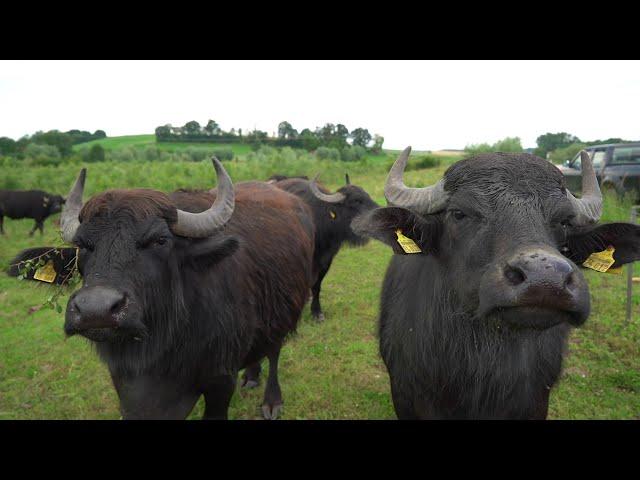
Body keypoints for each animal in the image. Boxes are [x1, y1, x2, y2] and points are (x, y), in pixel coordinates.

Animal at [20, 159, 318, 418]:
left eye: (159, 240)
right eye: (83, 245)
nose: (96, 310)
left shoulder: (220, 381)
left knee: (275, 351)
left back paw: (272, 401)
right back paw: (252, 376)